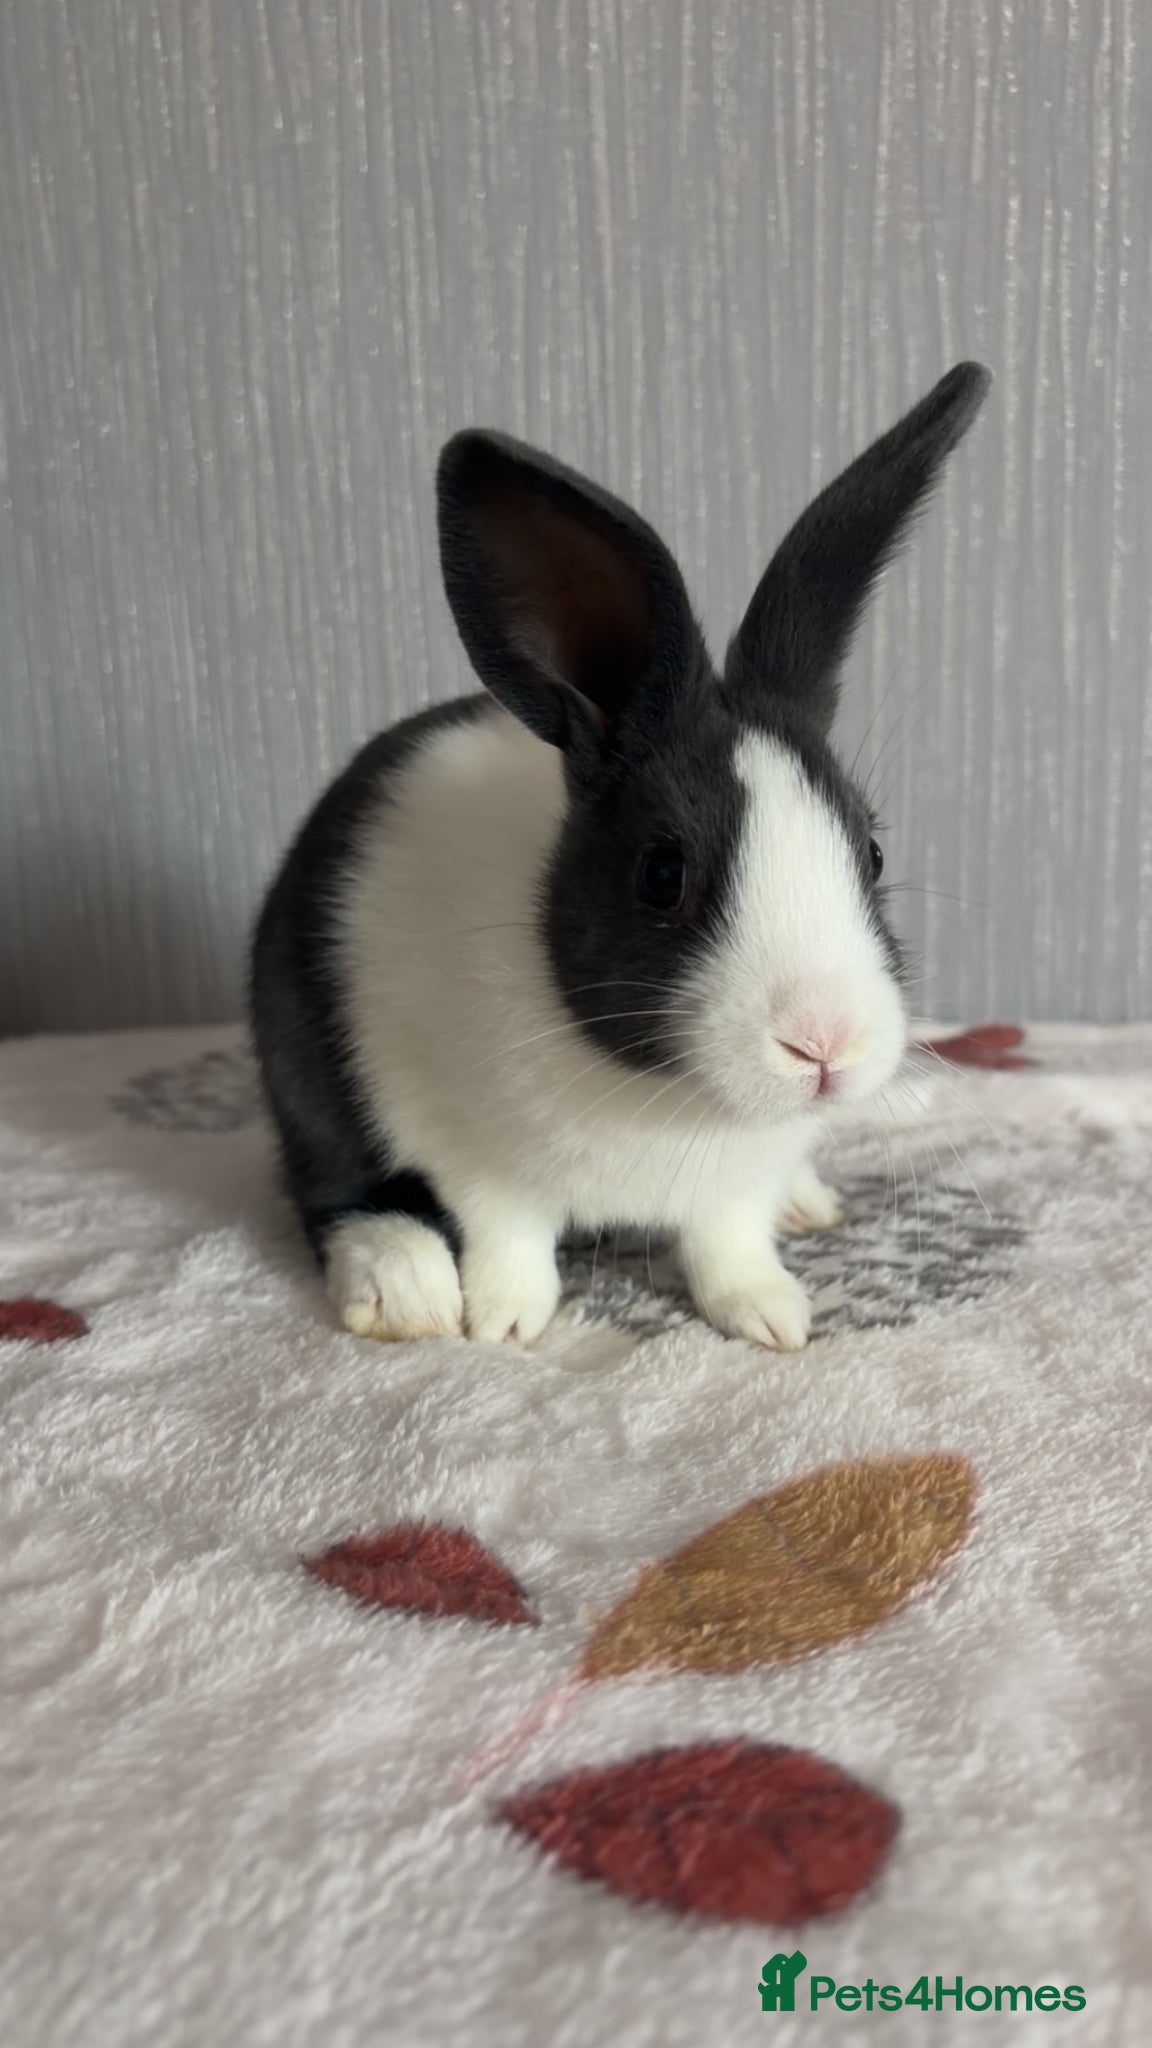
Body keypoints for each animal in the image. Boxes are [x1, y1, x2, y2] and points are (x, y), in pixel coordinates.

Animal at [250, 362, 990, 1351]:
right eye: (662, 876)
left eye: (870, 852)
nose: (825, 1044)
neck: (675, 1102)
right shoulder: (465, 1147)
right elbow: (507, 1232)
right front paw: (506, 1322)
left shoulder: (733, 1188)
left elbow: (727, 1245)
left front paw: (772, 1315)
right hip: (298, 1056)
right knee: (330, 1188)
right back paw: (403, 1285)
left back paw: (808, 1205)